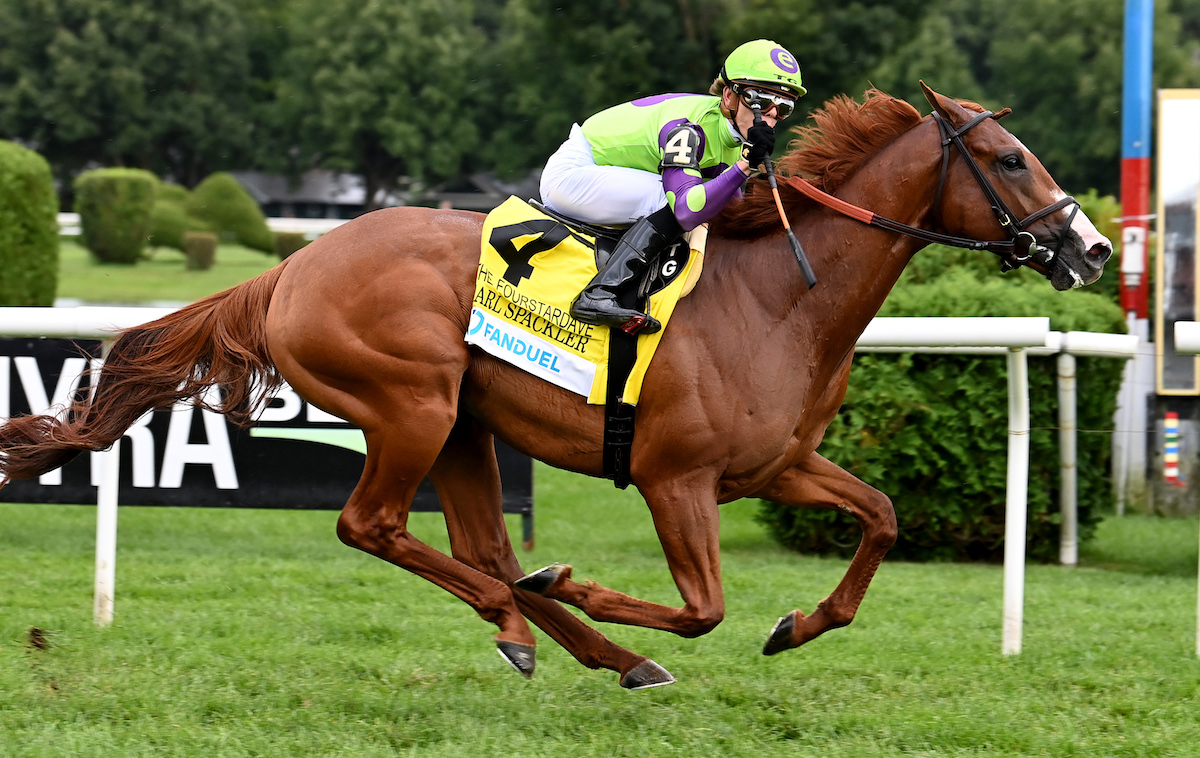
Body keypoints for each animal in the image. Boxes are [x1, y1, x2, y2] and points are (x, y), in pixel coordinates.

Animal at [0, 82, 1104, 686]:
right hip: (411, 405)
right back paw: (541, 613)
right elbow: (701, 606)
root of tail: (291, 266)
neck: (781, 296)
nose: (1089, 249)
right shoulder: (674, 477)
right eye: (1010, 158)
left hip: (463, 424)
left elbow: (880, 516)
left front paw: (797, 625)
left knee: (475, 546)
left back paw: (563, 636)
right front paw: (581, 584)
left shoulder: (778, 466)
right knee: (376, 527)